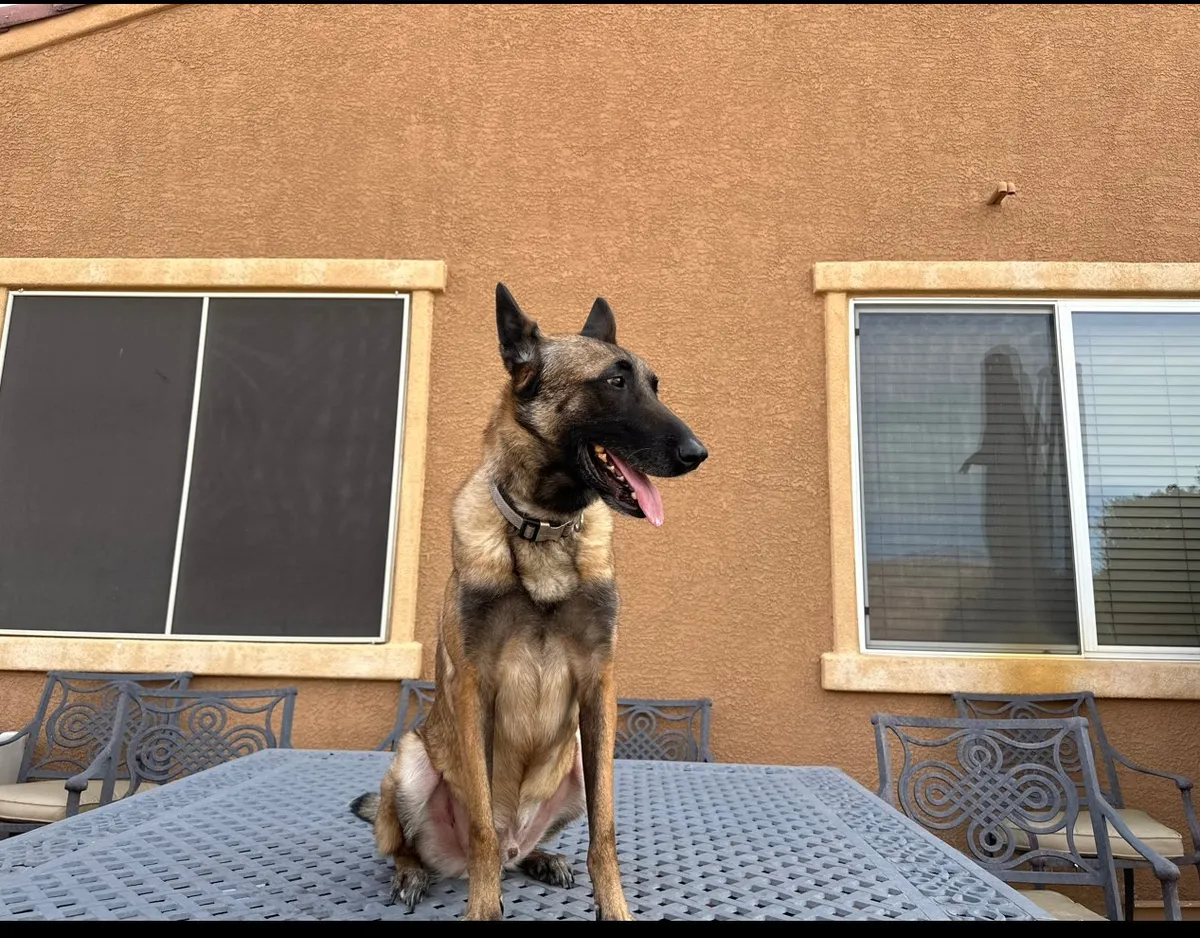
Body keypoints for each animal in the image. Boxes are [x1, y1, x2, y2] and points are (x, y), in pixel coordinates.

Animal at [350, 283, 708, 921]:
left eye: (653, 384)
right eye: (615, 381)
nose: (699, 452)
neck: (544, 530)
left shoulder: (599, 689)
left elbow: (604, 832)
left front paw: (614, 908)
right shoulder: (475, 688)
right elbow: (483, 831)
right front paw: (483, 909)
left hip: (578, 762)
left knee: (520, 850)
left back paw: (541, 857)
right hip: (412, 764)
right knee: (421, 844)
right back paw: (414, 873)